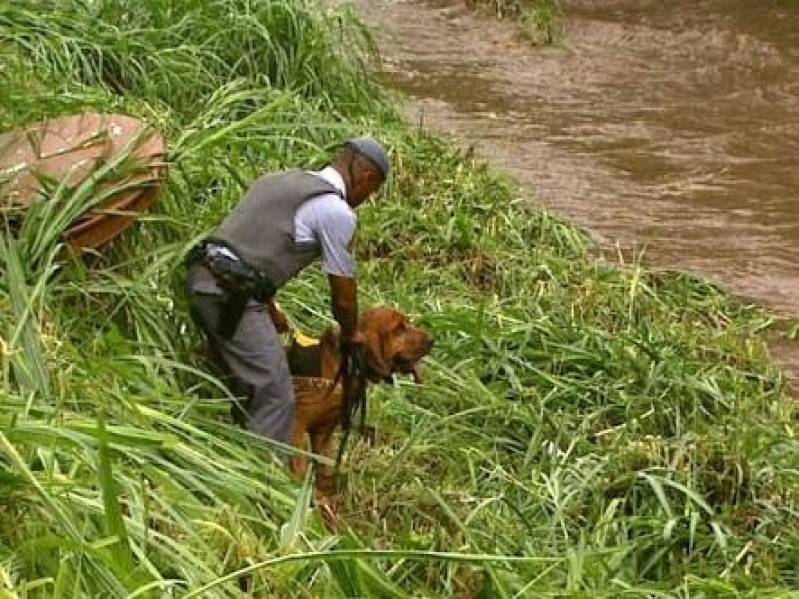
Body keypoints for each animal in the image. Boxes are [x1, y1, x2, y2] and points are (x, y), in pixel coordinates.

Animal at [288, 308, 434, 494]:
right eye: (399, 330)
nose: (432, 340)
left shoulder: (323, 433)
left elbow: (324, 470)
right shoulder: (296, 425)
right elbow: (298, 463)